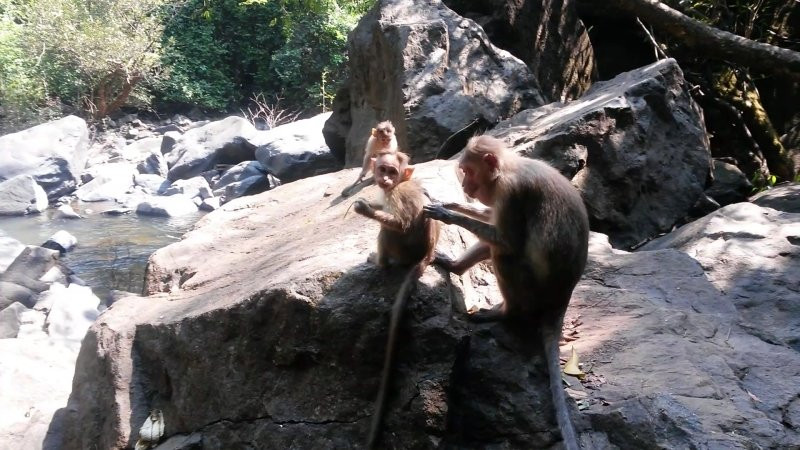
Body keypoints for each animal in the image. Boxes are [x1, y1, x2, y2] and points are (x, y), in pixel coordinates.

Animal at [350, 150, 438, 446]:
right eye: (383, 170)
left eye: (393, 172)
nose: (386, 180)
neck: (400, 184)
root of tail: (426, 257)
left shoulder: (397, 194)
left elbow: (399, 224)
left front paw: (366, 210)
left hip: (403, 252)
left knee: (388, 231)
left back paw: (379, 262)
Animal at [424, 135, 588, 450]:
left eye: (469, 171)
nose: (465, 186)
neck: (506, 170)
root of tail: (562, 298)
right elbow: (491, 218)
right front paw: (449, 202)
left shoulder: (511, 194)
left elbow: (507, 240)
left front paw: (447, 214)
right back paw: (456, 267)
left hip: (533, 290)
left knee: (504, 252)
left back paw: (505, 313)